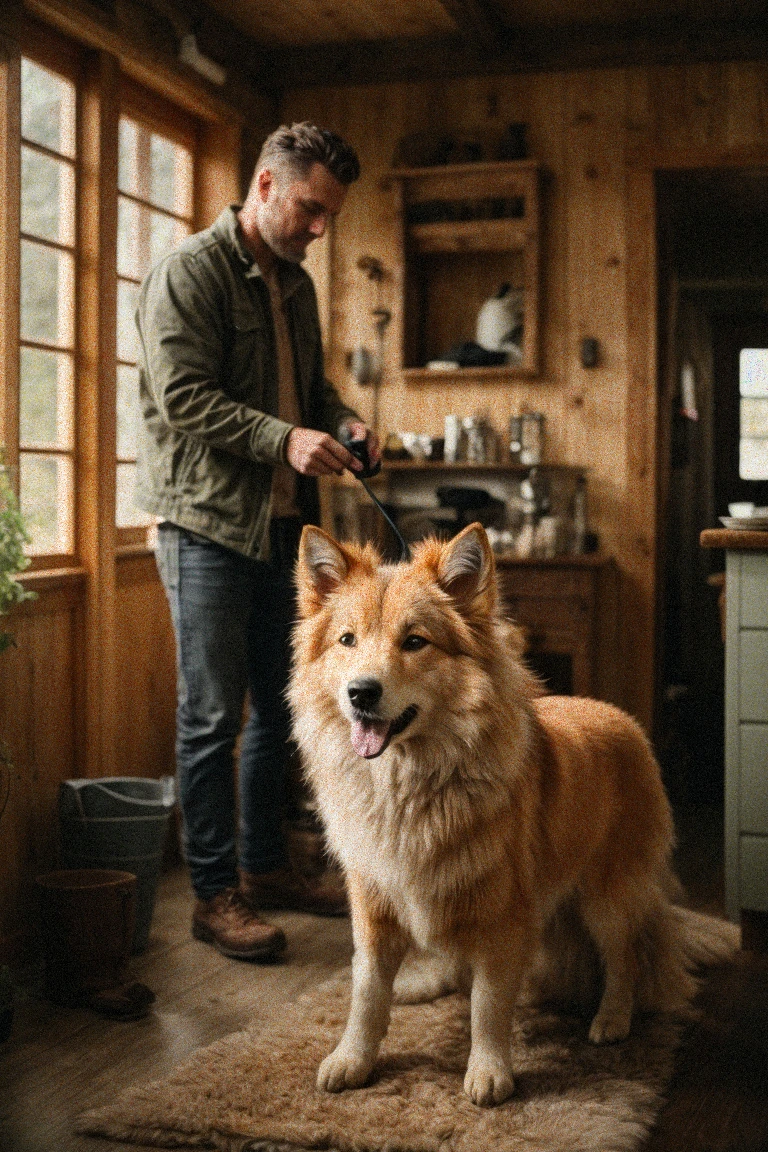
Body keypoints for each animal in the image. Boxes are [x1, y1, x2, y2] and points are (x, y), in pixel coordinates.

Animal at [290, 523, 736, 1105]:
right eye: (347, 640)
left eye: (415, 641)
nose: (360, 693)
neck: (412, 786)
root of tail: (622, 719)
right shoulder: (375, 906)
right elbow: (366, 994)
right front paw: (353, 1059)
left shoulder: (503, 918)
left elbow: (488, 1004)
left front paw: (488, 1071)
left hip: (606, 898)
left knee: (625, 958)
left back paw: (612, 1018)